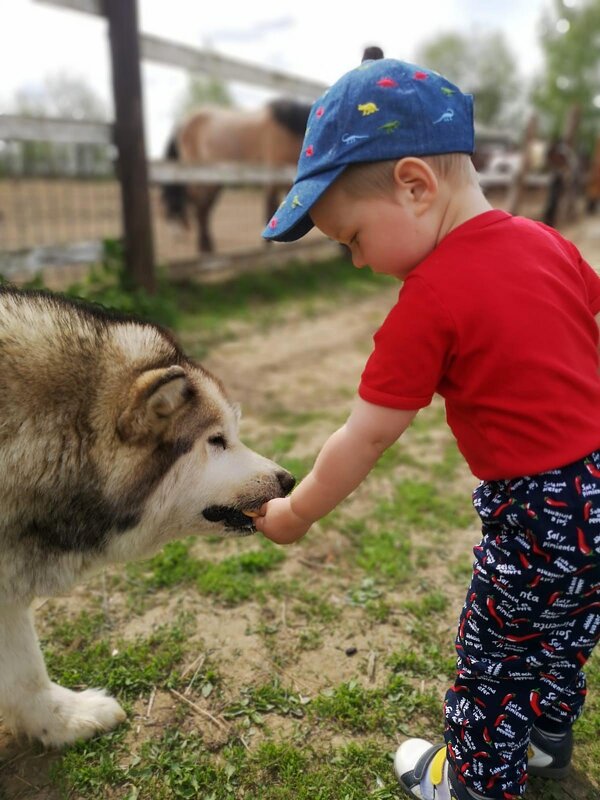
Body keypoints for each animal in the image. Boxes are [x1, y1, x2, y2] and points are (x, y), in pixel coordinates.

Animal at [162, 99, 312, 252]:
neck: (287, 129)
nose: (176, 233)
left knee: (203, 207)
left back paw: (206, 246)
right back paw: (204, 246)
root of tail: (182, 124)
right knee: (198, 205)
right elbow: (270, 210)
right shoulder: (272, 178)